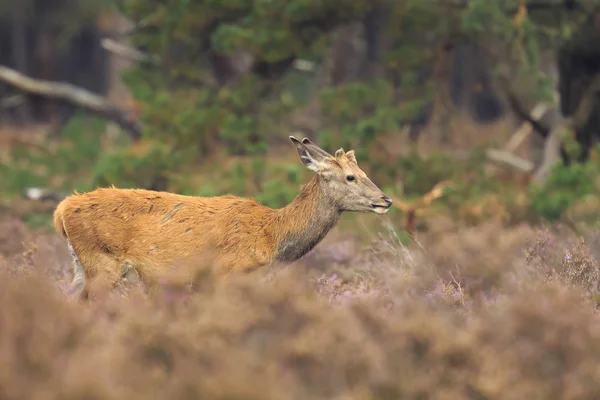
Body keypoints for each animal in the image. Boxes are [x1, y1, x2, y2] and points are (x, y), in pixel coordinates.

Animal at [52, 136, 394, 298]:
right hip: (102, 263)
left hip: (81, 266)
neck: (273, 237)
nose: (386, 200)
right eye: (351, 177)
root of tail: (61, 211)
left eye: (364, 172)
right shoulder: (226, 274)